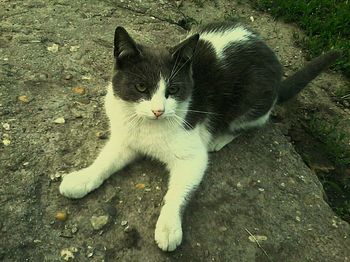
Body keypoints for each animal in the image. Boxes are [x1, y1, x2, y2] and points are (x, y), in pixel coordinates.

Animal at [58, 21, 340, 251]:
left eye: (173, 90)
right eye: (141, 87)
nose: (158, 110)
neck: (147, 126)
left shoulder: (192, 155)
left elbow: (178, 191)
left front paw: (169, 226)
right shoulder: (126, 135)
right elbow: (105, 161)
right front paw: (81, 179)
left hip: (253, 100)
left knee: (254, 121)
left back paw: (221, 137)